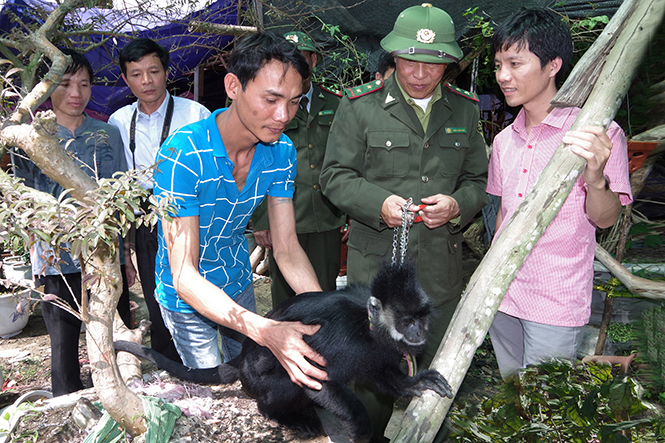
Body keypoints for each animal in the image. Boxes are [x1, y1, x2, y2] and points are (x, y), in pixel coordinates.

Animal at [116, 260, 454, 443]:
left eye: (421, 319)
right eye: (407, 321)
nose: (418, 332)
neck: (369, 327)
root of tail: (243, 357)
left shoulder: (376, 349)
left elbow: (380, 372)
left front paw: (413, 382)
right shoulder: (344, 339)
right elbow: (317, 381)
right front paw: (362, 427)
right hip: (256, 380)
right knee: (284, 380)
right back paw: (280, 414)